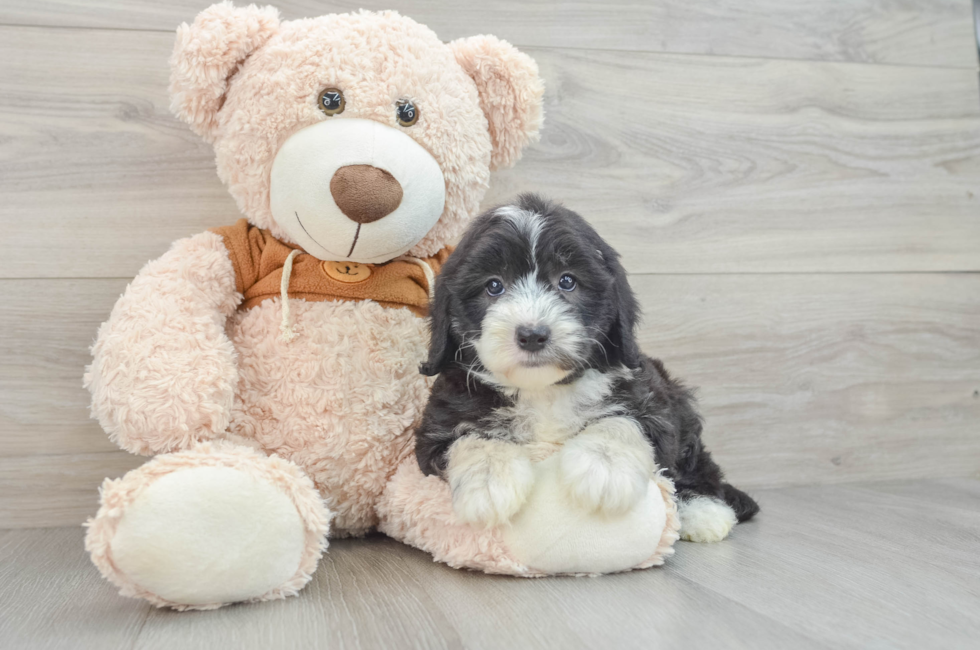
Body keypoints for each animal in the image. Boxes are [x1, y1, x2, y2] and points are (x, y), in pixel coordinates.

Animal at [414, 195, 756, 540]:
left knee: (695, 463)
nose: (532, 335)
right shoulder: (437, 426)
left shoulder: (653, 406)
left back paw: (704, 510)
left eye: (567, 281)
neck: (543, 390)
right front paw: (488, 482)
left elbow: (623, 420)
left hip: (679, 404)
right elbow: (471, 436)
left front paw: (605, 467)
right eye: (494, 286)